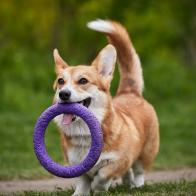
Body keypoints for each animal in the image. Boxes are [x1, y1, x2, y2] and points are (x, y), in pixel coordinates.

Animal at [52, 19, 159, 194]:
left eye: (83, 80)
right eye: (61, 81)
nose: (64, 94)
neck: (85, 133)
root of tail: (129, 92)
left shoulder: (118, 160)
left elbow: (103, 174)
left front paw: (99, 187)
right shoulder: (76, 163)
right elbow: (82, 180)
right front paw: (80, 193)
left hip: (146, 152)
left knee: (138, 171)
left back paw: (137, 185)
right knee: (128, 173)